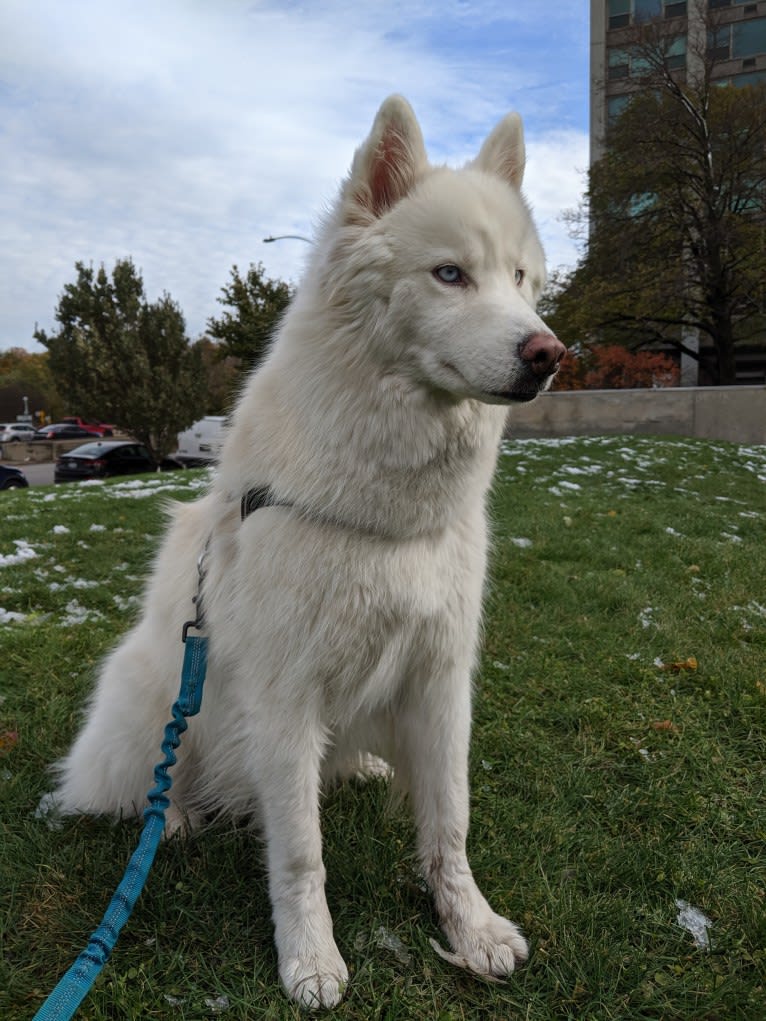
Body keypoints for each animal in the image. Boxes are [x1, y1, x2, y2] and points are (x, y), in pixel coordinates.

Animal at [55, 97, 563, 1012]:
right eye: (450, 274)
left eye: (520, 280)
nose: (548, 354)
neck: (383, 511)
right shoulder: (284, 697)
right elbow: (299, 850)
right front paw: (311, 960)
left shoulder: (440, 680)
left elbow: (450, 823)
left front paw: (469, 929)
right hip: (153, 692)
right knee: (137, 783)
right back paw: (170, 816)